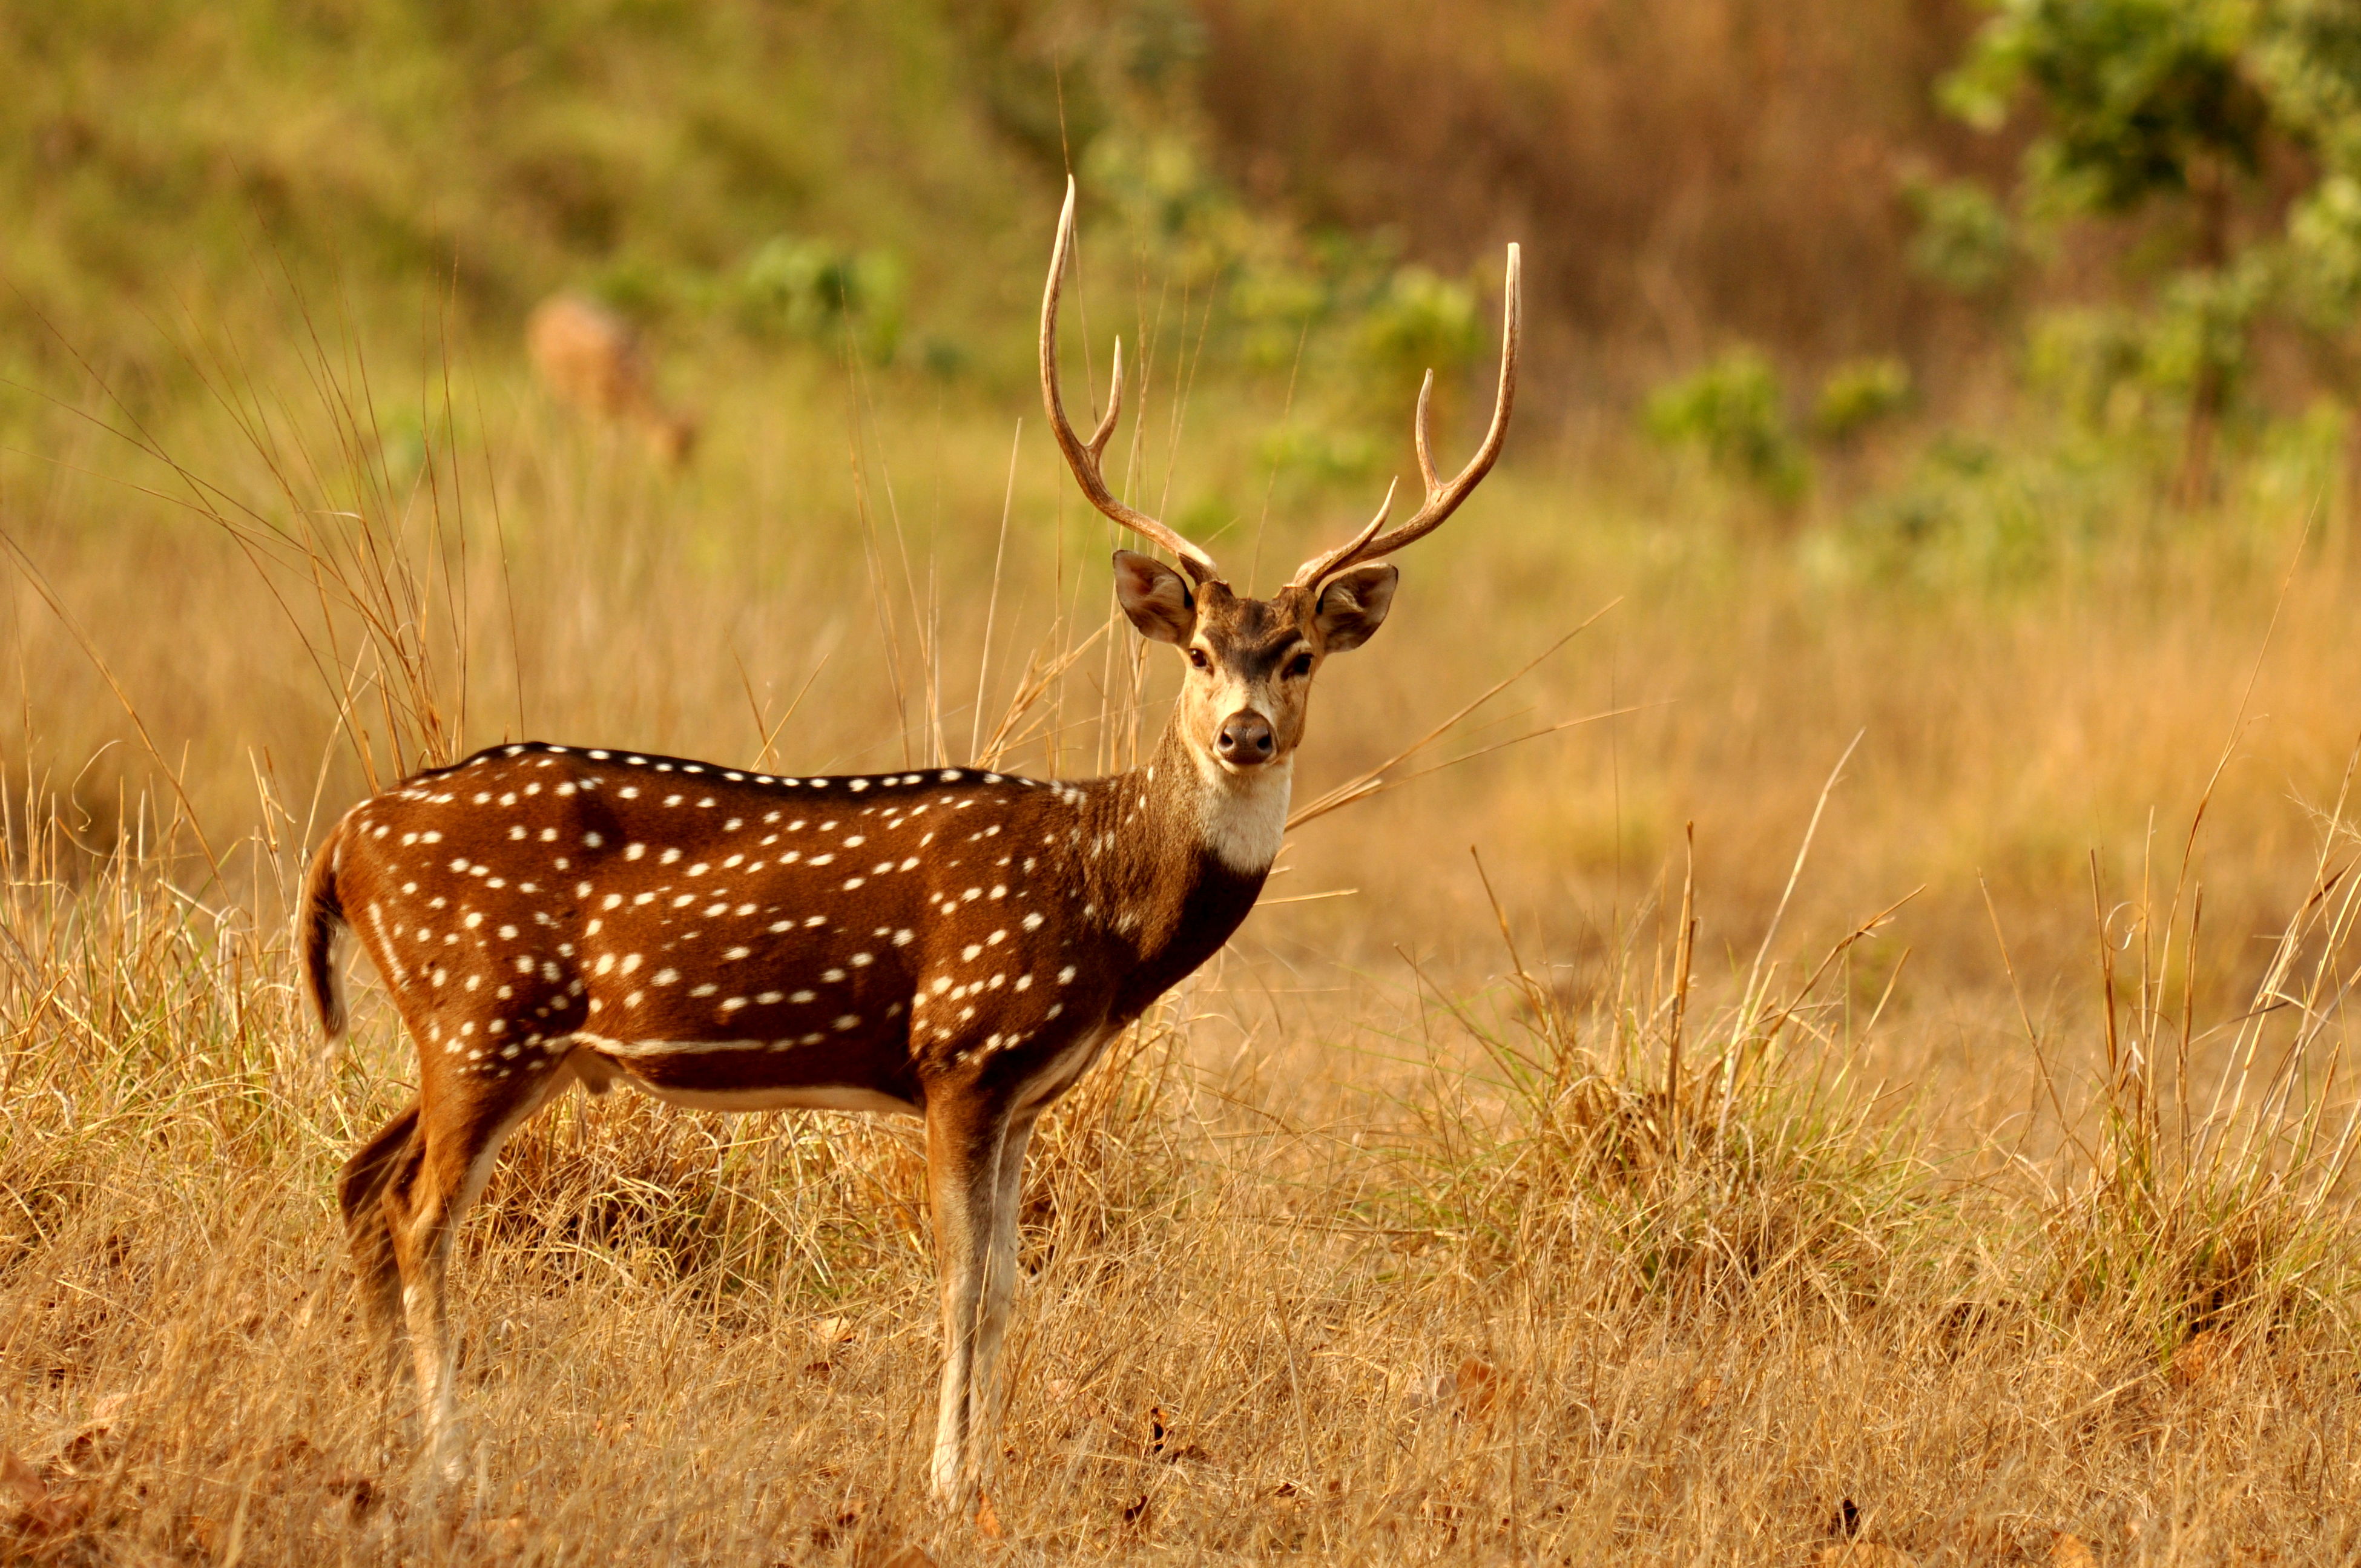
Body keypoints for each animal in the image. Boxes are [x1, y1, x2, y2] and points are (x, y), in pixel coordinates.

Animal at [524, 294, 689, 465]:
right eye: (671, 445)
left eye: (691, 447)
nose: (681, 469)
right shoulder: (595, 403)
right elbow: (604, 441)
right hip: (545, 379)